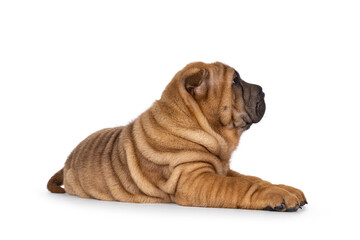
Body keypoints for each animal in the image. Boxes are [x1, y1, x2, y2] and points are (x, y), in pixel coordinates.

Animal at [47, 61, 306, 212]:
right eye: (235, 81)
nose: (263, 90)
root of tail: (67, 160)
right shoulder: (194, 178)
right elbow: (241, 185)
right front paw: (277, 196)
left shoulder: (221, 168)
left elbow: (254, 179)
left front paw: (287, 189)